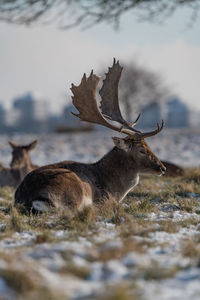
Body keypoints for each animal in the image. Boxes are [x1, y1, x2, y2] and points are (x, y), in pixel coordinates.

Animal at [14, 59, 166, 213]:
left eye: (149, 146)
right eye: (141, 150)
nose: (163, 168)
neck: (115, 188)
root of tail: (26, 199)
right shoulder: (106, 199)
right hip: (72, 188)